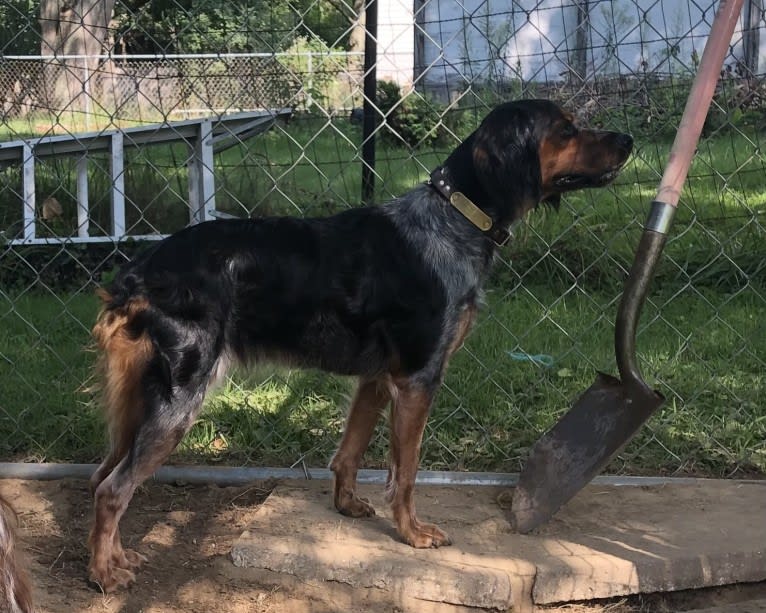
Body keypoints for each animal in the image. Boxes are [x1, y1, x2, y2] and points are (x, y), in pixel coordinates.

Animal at [87, 98, 632, 592]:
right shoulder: (417, 379)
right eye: (566, 129)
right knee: (113, 489)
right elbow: (405, 470)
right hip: (179, 399)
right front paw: (412, 533)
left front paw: (346, 506)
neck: (453, 219)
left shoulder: (377, 378)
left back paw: (119, 558)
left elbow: (350, 450)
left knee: (105, 475)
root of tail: (141, 271)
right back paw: (104, 576)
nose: (627, 140)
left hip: (142, 401)